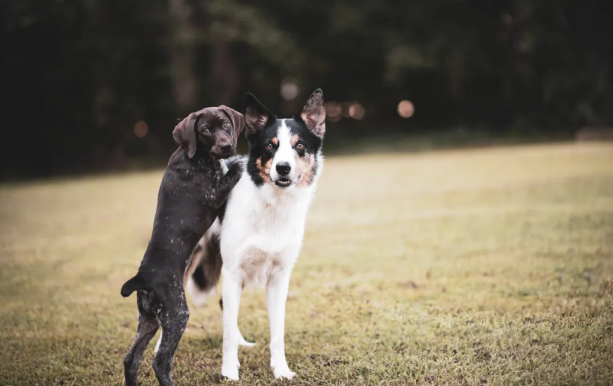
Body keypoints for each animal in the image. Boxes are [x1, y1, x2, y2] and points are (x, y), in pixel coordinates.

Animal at [119, 105, 244, 386]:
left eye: (225, 125)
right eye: (206, 130)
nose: (227, 146)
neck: (197, 156)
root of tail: (142, 278)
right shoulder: (213, 193)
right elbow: (232, 173)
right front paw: (240, 163)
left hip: (150, 320)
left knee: (131, 359)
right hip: (177, 314)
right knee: (160, 361)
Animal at [188, 88, 326, 380]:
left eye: (299, 146)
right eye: (270, 146)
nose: (283, 168)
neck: (272, 204)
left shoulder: (279, 277)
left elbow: (277, 332)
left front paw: (281, 370)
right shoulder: (233, 270)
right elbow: (226, 335)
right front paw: (229, 372)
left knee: (225, 306)